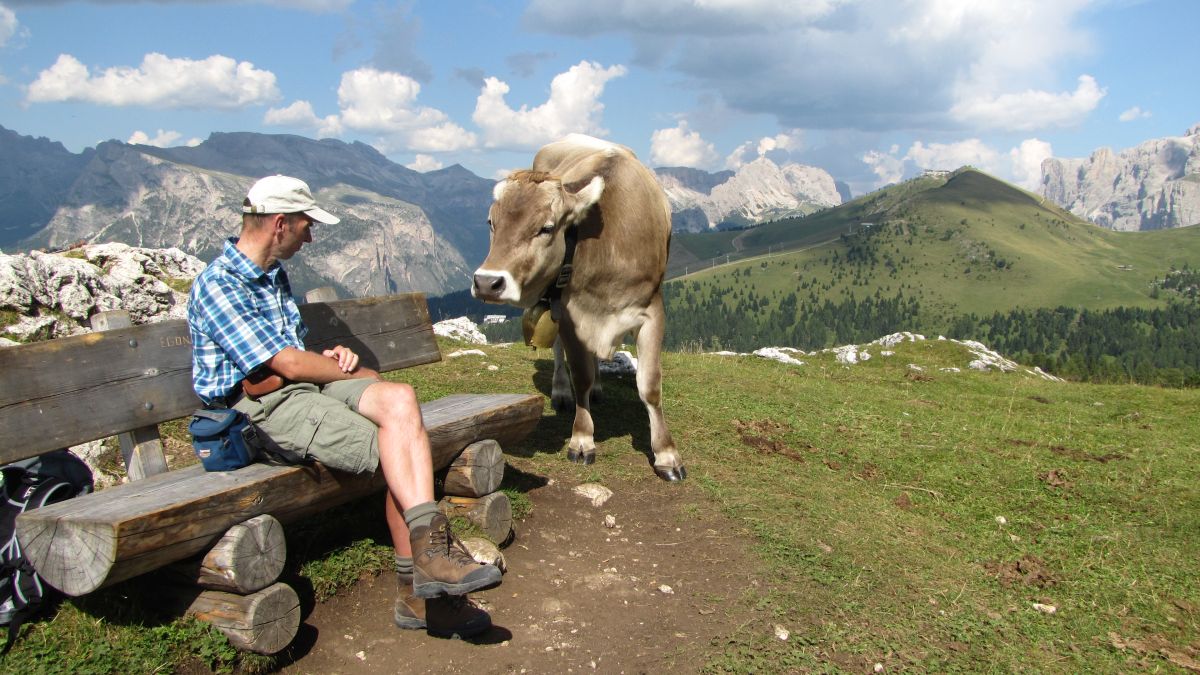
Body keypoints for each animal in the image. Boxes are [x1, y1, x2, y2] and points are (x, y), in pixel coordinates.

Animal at [475, 132, 691, 478]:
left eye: (547, 227)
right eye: (491, 223)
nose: (486, 282)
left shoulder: (653, 311)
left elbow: (650, 386)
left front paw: (667, 454)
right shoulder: (570, 313)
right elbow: (580, 375)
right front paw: (581, 438)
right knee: (559, 354)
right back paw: (562, 392)